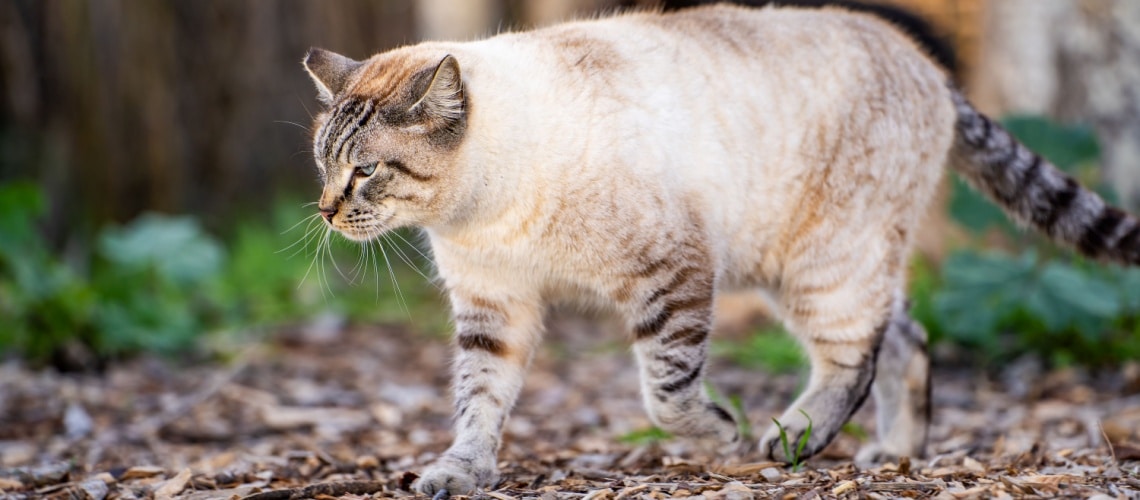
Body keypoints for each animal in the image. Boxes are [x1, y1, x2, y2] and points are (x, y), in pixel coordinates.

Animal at [300, 3, 1140, 496]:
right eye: (323, 160)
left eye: (366, 170)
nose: (327, 210)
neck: (482, 211)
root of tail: (926, 62)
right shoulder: (493, 307)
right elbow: (479, 399)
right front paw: (460, 471)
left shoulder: (671, 276)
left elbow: (666, 396)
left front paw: (725, 433)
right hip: (830, 263)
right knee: (907, 335)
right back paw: (894, 452)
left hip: (822, 265)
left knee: (855, 353)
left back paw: (792, 438)